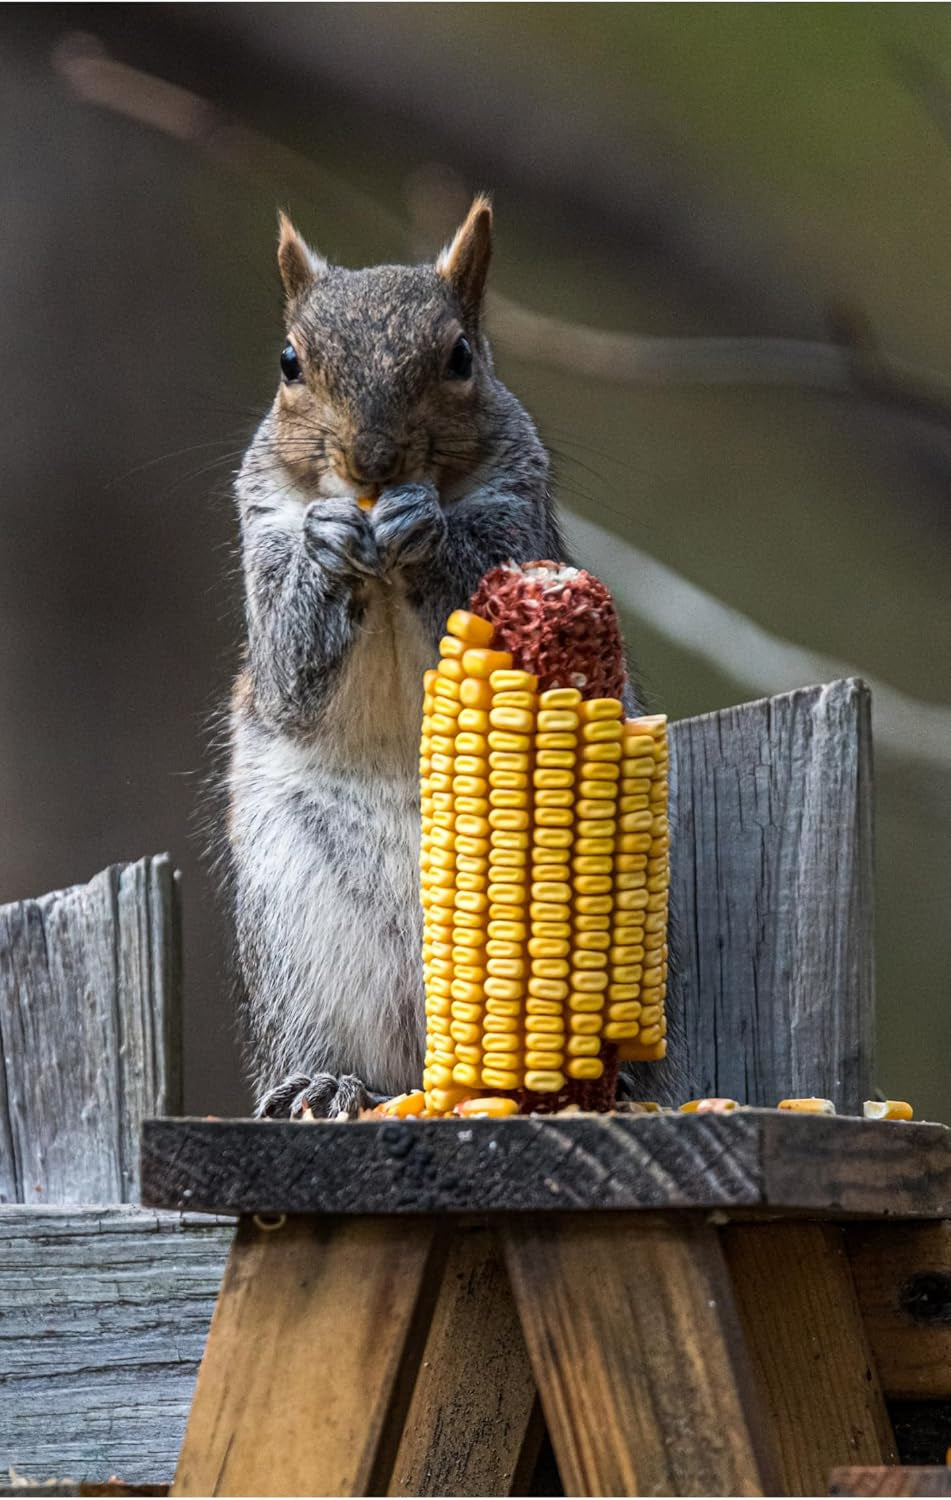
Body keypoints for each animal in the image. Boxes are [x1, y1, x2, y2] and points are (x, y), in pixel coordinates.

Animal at [227, 195, 642, 1120]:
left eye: (459, 358)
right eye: (287, 363)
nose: (373, 461)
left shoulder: (519, 518)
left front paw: (426, 528)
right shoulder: (262, 538)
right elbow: (287, 674)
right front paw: (327, 547)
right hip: (299, 936)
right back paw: (328, 1084)